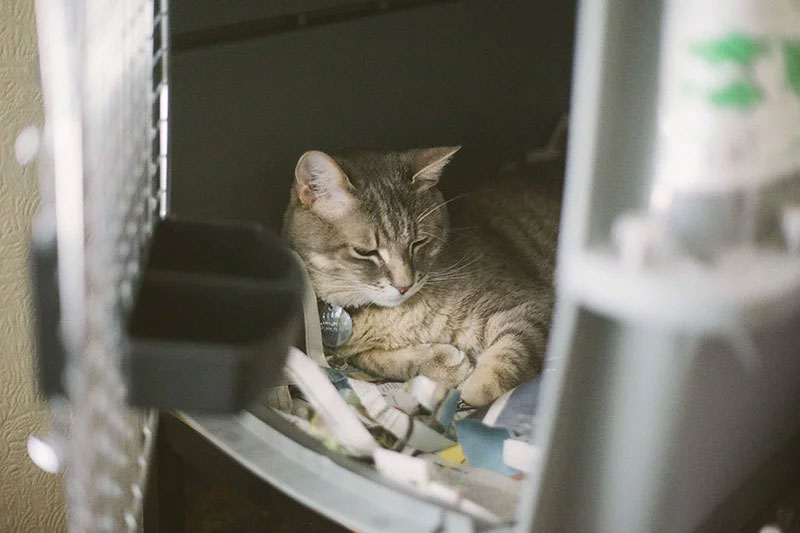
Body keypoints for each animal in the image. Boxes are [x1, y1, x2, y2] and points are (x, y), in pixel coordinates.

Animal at [282, 145, 564, 404]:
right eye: (366, 252)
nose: (404, 285)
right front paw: (444, 362)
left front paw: (474, 389)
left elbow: (512, 352)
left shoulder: (532, 304)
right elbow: (378, 360)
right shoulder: (351, 351)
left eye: (418, 242)